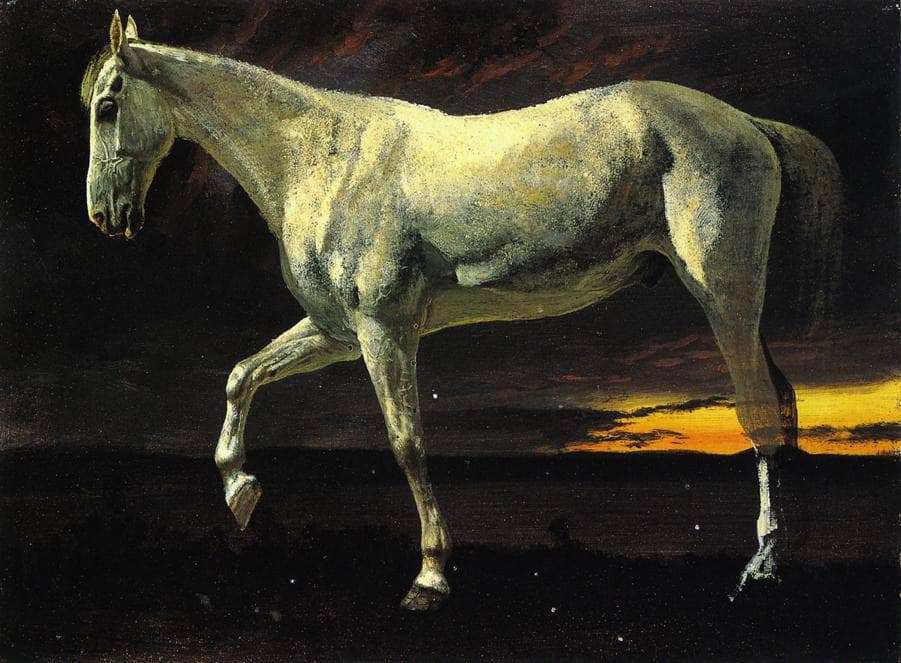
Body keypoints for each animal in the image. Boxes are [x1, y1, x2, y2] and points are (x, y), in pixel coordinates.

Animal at [83, 12, 842, 610]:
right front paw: (240, 491)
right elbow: (241, 375)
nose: (104, 215)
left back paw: (760, 565)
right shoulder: (336, 332)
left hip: (724, 290)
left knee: (757, 408)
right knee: (780, 399)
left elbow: (406, 442)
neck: (321, 158)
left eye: (107, 104)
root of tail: (747, 123)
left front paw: (430, 576)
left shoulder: (385, 329)